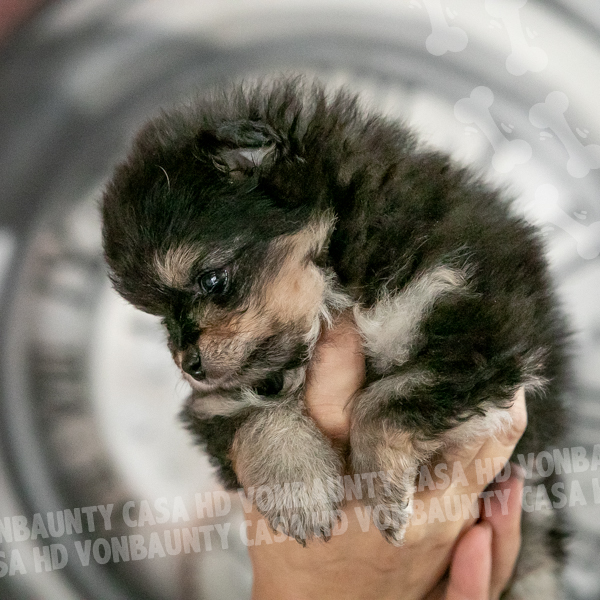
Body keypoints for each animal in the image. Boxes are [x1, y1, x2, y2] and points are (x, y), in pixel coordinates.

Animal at [102, 77, 569, 595]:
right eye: (160, 317)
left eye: (212, 280)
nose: (190, 364)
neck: (341, 277)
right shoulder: (217, 400)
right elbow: (255, 416)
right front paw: (298, 490)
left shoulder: (488, 329)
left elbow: (384, 399)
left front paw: (382, 487)